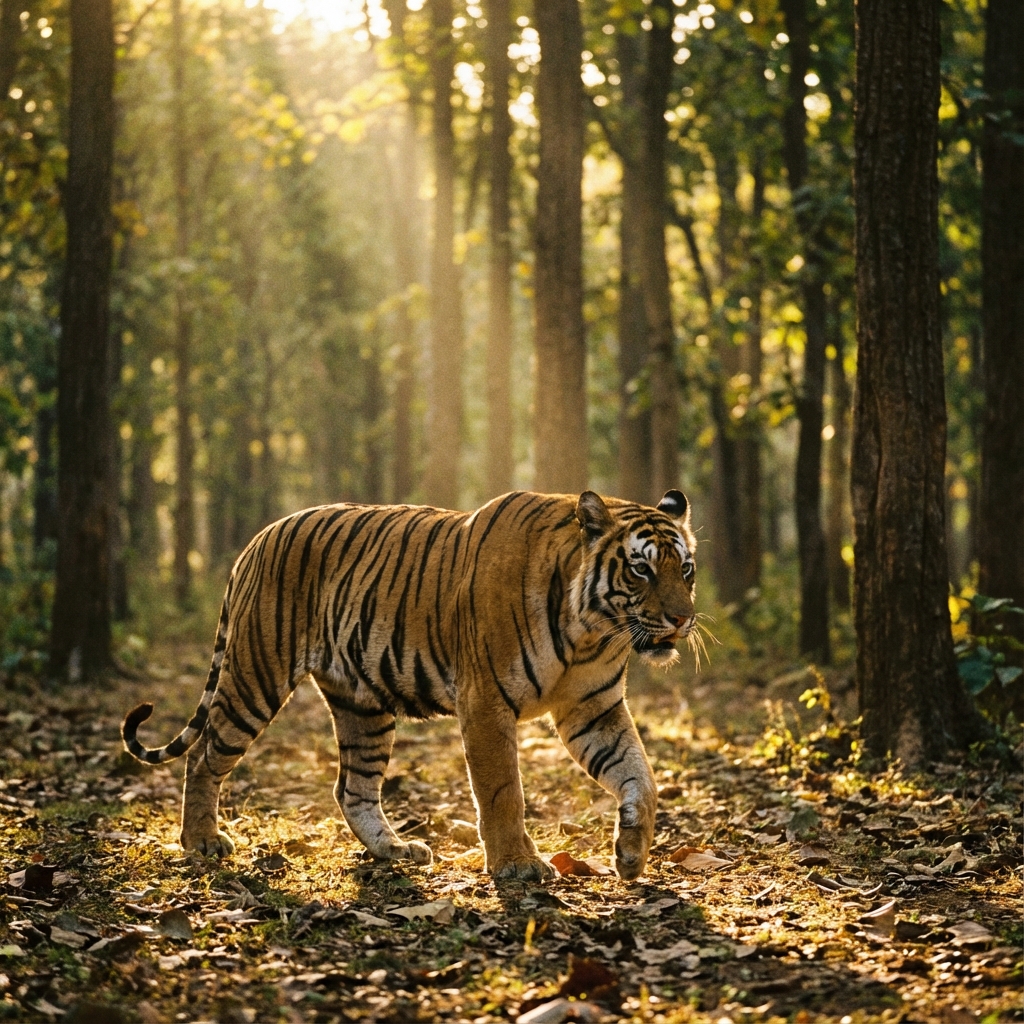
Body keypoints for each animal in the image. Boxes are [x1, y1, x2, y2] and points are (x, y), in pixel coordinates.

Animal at [122, 488, 697, 882]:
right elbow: (502, 790)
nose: (682, 619)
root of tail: (259, 538)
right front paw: (517, 865)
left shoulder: (592, 708)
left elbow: (640, 776)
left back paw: (395, 850)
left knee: (352, 787)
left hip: (363, 705)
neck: (593, 631)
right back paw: (201, 842)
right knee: (204, 757)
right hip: (255, 674)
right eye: (642, 570)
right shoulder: (486, 702)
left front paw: (631, 853)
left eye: (687, 570)